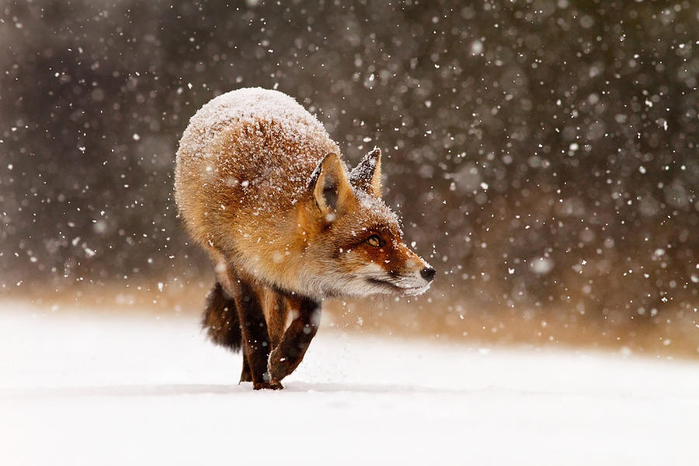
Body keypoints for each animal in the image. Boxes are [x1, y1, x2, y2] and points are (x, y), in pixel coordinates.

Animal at [175, 88, 434, 390]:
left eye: (397, 236)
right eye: (373, 240)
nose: (429, 271)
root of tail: (246, 90)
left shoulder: (295, 280)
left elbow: (310, 321)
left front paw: (282, 363)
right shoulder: (238, 267)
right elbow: (254, 333)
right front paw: (261, 384)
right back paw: (249, 379)